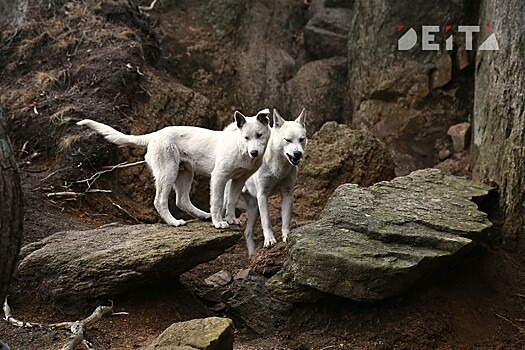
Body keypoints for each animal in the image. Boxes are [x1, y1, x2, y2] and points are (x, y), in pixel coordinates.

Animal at [77, 109, 270, 230]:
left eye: (259, 135)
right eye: (246, 138)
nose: (254, 153)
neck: (240, 148)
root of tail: (155, 135)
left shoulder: (238, 179)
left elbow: (230, 201)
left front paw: (231, 219)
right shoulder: (219, 177)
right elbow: (217, 202)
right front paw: (219, 222)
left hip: (185, 173)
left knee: (181, 201)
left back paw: (203, 215)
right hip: (167, 172)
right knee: (160, 201)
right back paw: (174, 222)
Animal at [230, 108, 308, 256]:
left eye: (302, 139)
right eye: (287, 140)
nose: (298, 153)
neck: (278, 166)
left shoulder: (287, 194)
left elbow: (286, 219)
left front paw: (287, 236)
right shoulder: (263, 195)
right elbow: (266, 221)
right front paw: (270, 240)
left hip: (254, 208)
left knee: (247, 233)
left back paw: (252, 255)